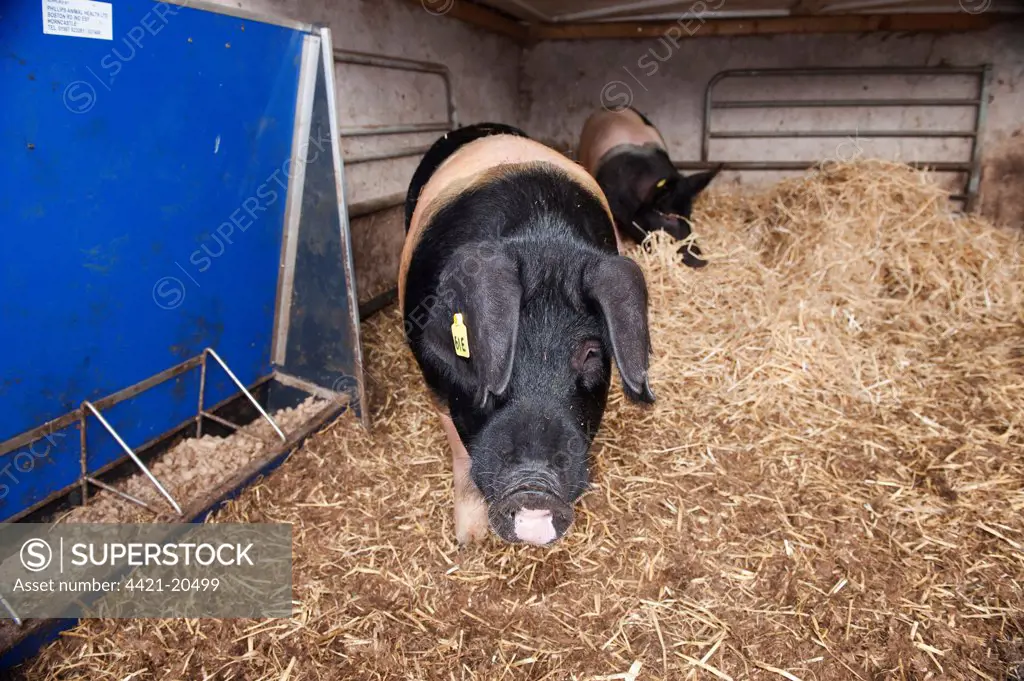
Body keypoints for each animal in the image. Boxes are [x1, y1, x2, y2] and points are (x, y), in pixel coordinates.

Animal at [399, 122, 655, 548]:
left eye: (591, 353)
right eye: (491, 351)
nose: (534, 486)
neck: (543, 237)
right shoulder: (432, 377)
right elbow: (460, 454)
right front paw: (469, 541)